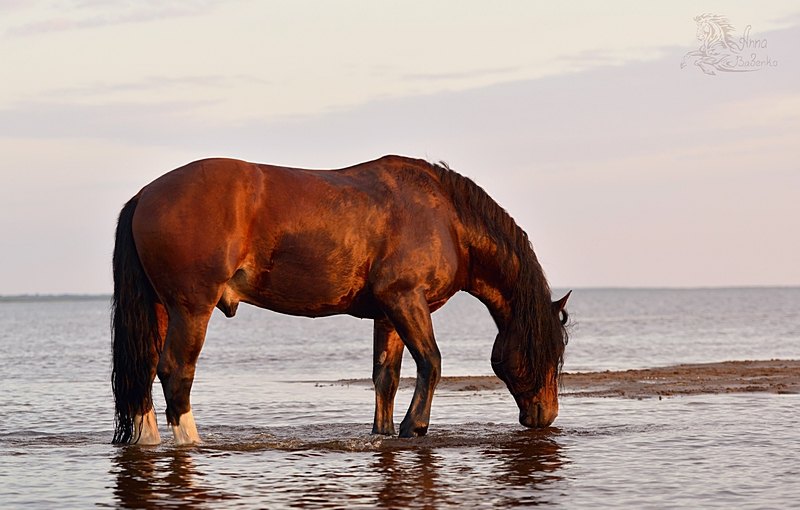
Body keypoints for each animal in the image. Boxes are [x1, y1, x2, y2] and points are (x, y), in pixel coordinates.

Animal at [111, 153, 568, 444]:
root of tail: (145, 194)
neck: (446, 217)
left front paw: (384, 432)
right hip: (191, 308)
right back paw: (192, 442)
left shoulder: (388, 314)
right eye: (549, 350)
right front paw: (415, 427)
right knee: (175, 372)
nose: (544, 416)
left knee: (145, 370)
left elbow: (386, 378)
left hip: (162, 308)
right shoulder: (406, 300)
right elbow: (431, 362)